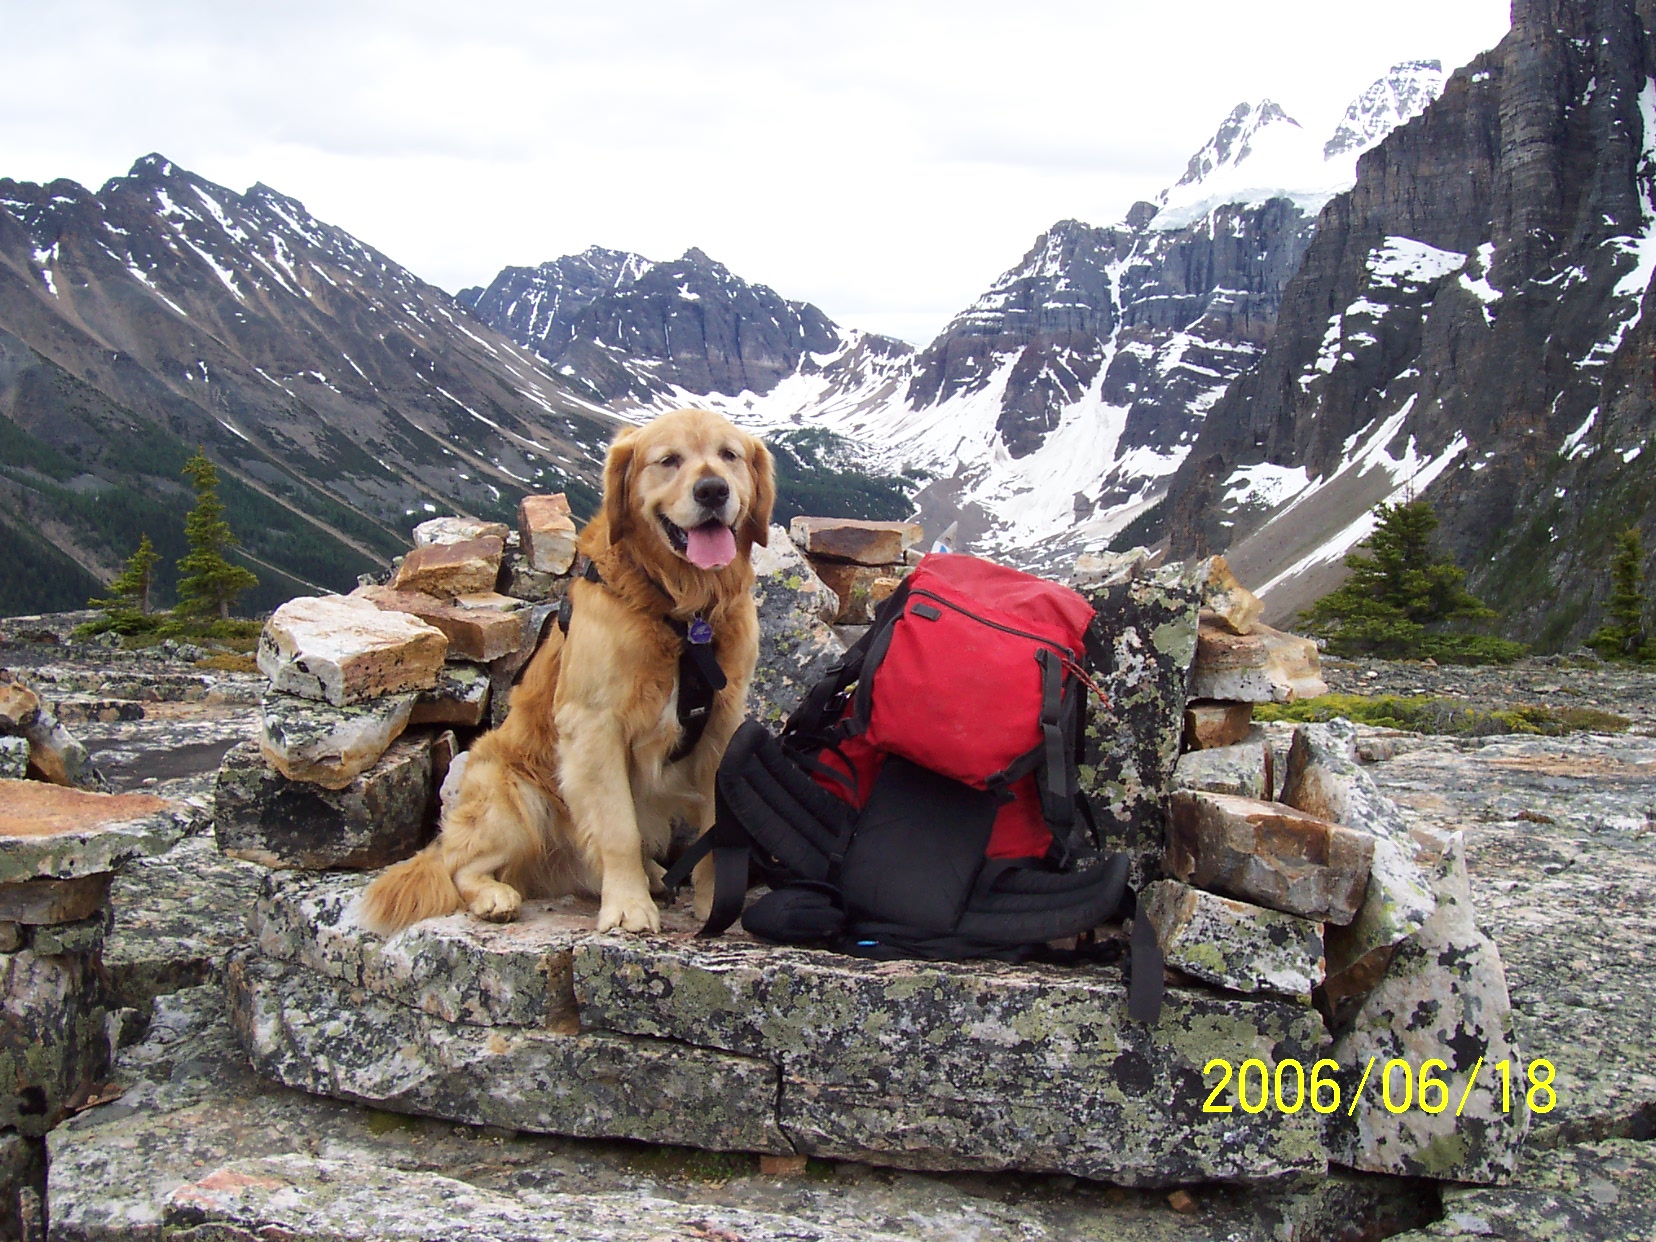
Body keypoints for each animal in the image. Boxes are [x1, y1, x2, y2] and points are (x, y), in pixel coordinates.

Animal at [361, 407, 774, 936]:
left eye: (729, 455)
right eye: (669, 460)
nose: (713, 491)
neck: (683, 614)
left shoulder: (722, 727)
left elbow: (715, 831)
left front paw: (714, 903)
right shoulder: (595, 725)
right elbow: (618, 829)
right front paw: (628, 907)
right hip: (514, 796)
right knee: (459, 864)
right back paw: (495, 895)